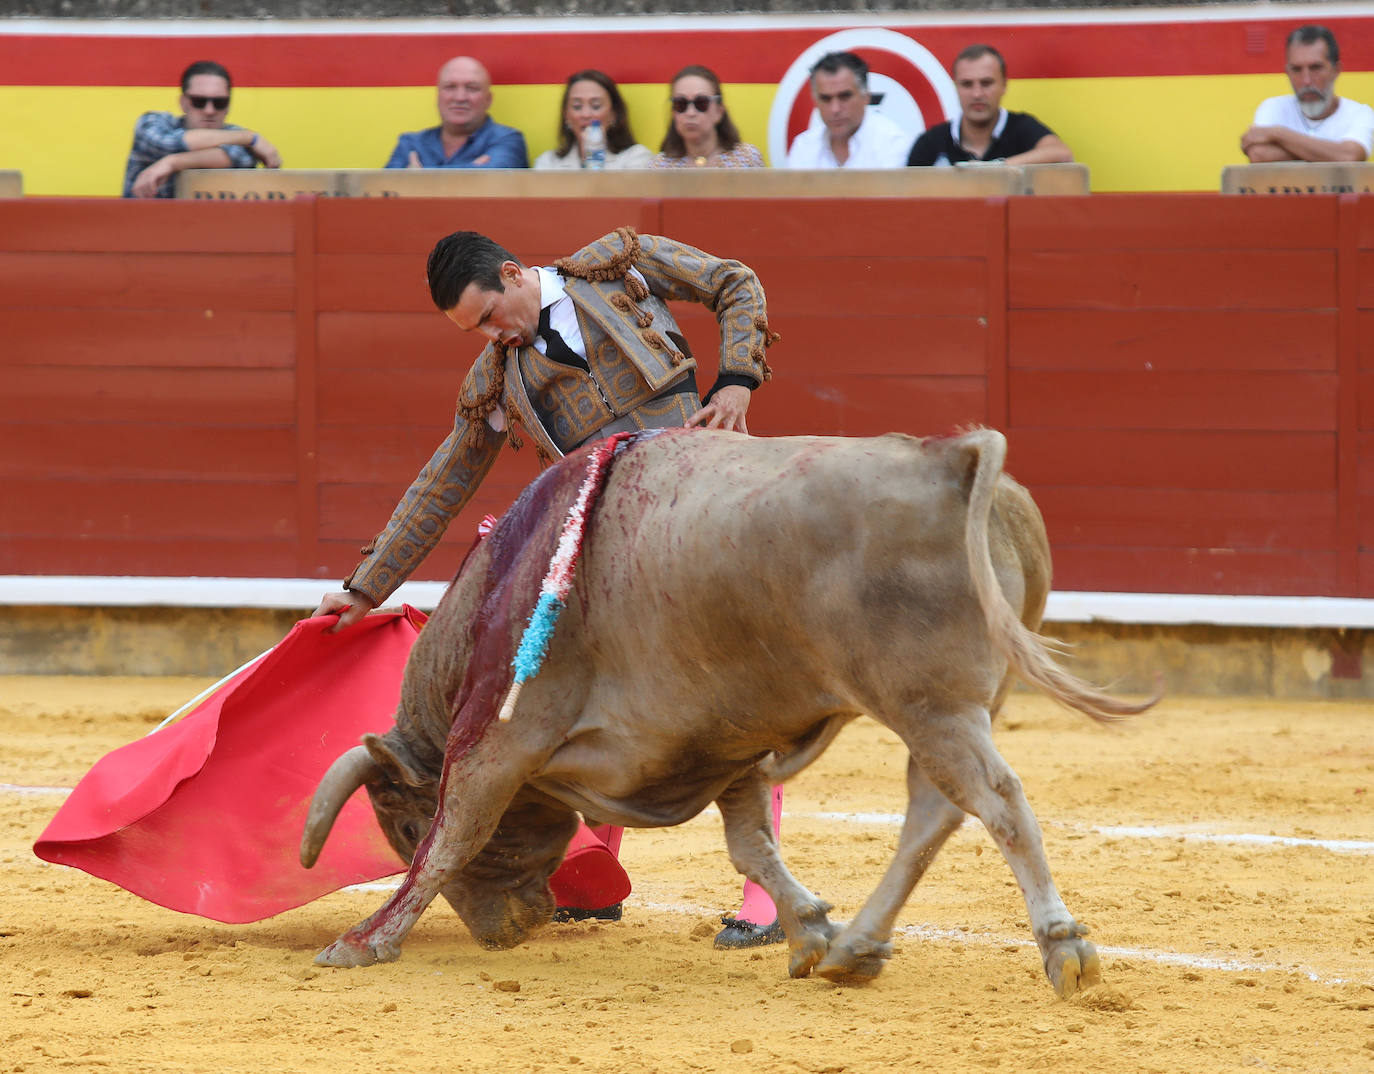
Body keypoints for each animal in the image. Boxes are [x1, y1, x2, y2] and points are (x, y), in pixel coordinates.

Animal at [303, 428, 1159, 999]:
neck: (504, 584)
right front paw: (810, 929)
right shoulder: (727, 742)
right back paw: (857, 948)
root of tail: (948, 458)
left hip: (930, 703)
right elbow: (752, 846)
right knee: (935, 810)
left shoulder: (500, 740)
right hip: (950, 707)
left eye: (400, 823)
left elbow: (455, 834)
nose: (504, 930)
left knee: (997, 801)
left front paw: (362, 942)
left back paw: (1063, 949)